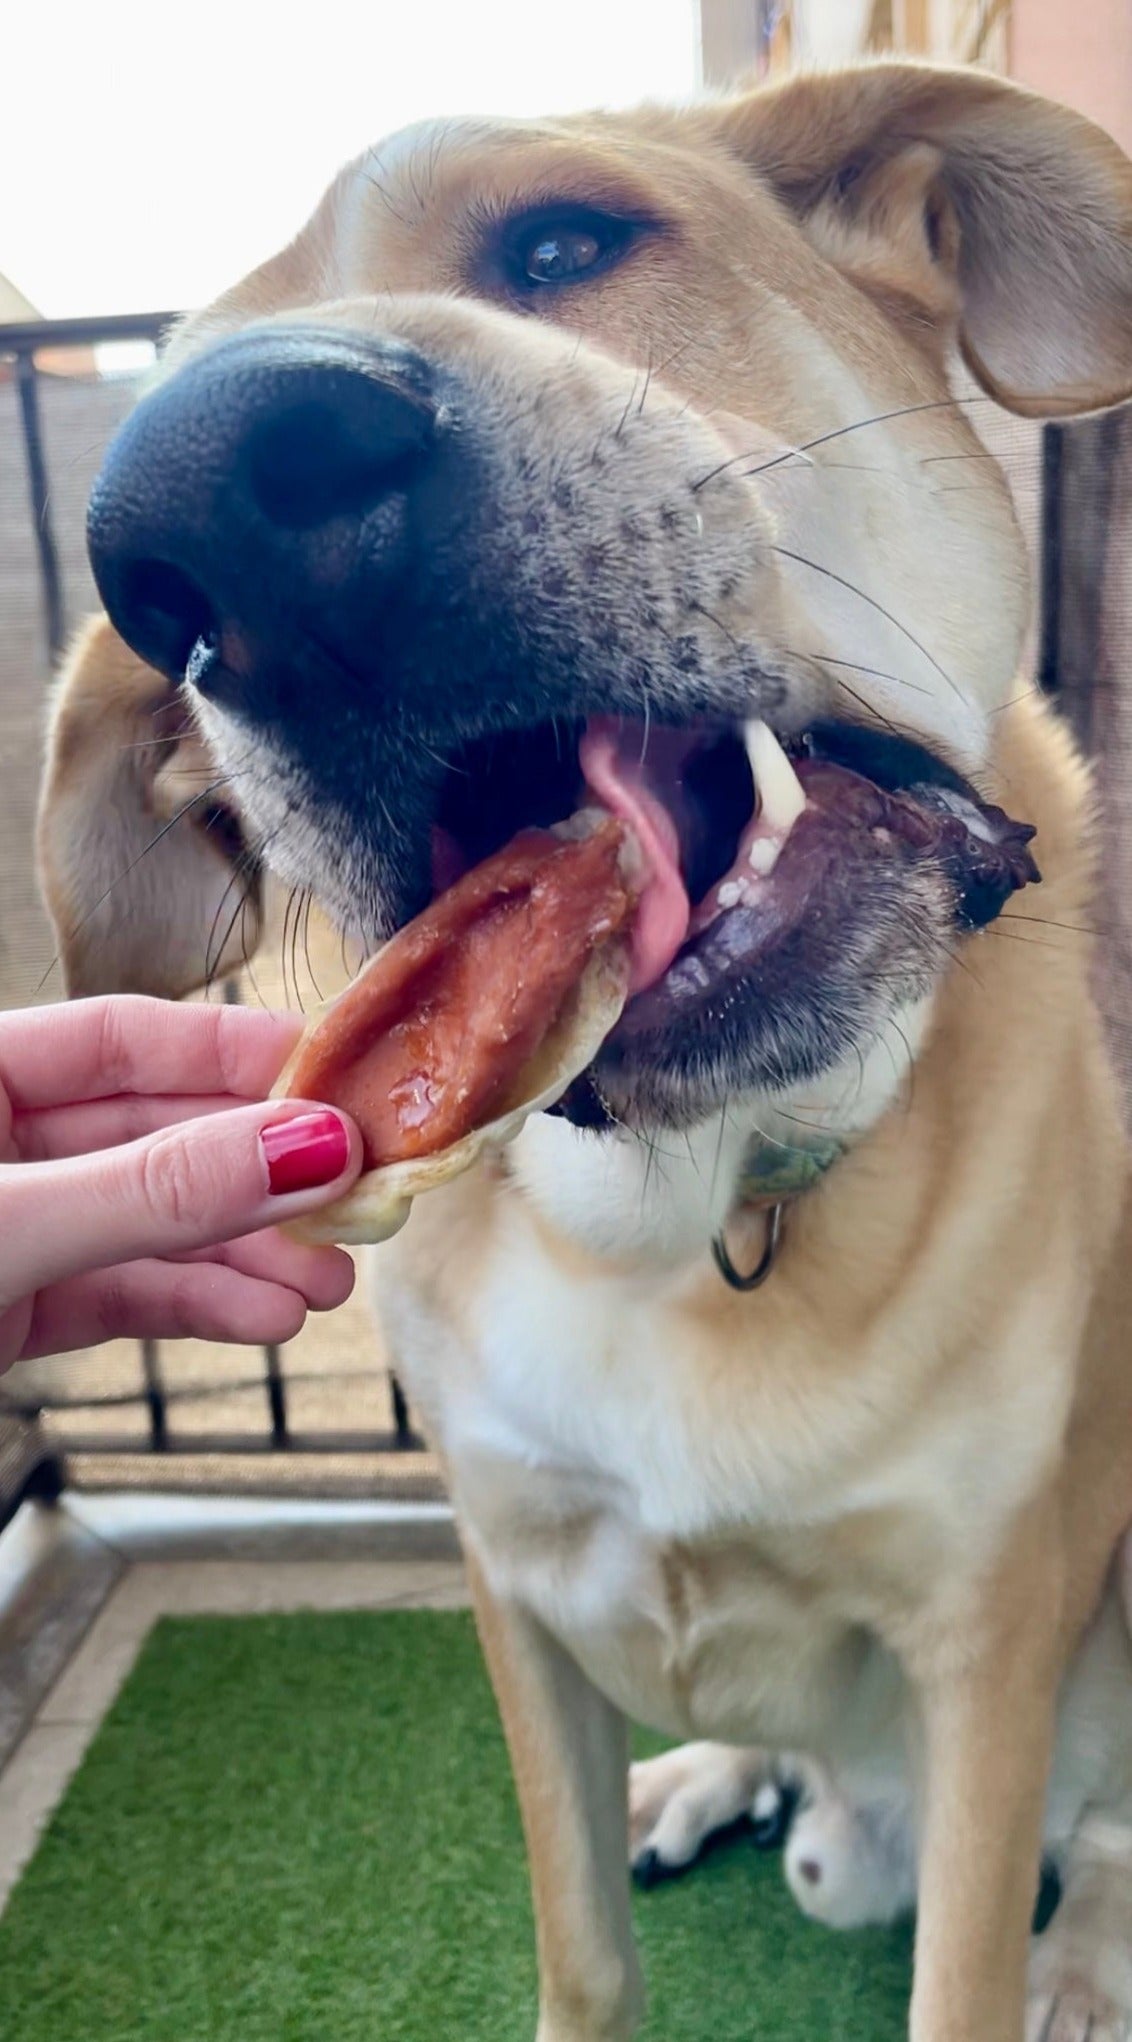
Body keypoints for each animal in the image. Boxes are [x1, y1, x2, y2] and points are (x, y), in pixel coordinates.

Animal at [32, 55, 1127, 2033]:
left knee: (1110, 1831)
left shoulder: (989, 1636)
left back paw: (1081, 1960)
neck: (698, 1220)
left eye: (560, 243)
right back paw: (700, 1776)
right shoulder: (513, 1580)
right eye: (158, 612)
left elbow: (966, 1966)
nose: (211, 516)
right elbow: (581, 1951)